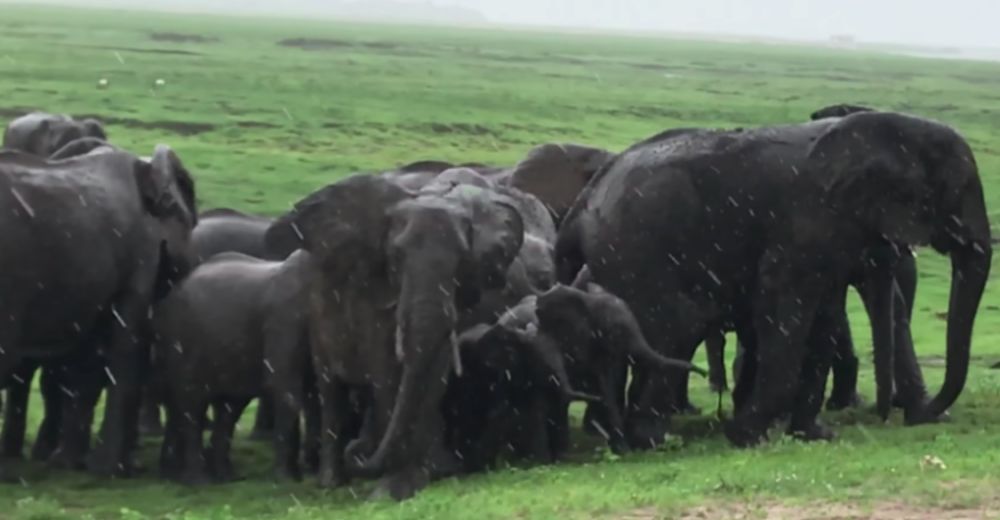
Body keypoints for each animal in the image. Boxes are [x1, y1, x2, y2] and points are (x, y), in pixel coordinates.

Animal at [0, 144, 201, 478]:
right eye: (188, 222)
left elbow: (89, 361)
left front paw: (70, 464)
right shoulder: (141, 254)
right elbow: (125, 347)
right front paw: (111, 470)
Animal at [153, 251, 316, 484]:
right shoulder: (286, 318)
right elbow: (285, 389)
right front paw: (288, 480)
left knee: (227, 407)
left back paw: (213, 475)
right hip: (180, 341)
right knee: (191, 404)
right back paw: (198, 481)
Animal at [266, 173, 532, 498]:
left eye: (462, 261)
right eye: (395, 257)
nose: (358, 451)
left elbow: (428, 372)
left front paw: (418, 477)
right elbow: (387, 374)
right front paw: (396, 485)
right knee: (330, 388)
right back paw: (331, 480)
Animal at [556, 112, 992, 446]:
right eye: (958, 190)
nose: (891, 416)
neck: (894, 128)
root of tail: (586, 199)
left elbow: (824, 320)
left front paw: (814, 435)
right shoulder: (803, 223)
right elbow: (784, 308)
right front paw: (747, 436)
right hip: (638, 245)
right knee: (677, 326)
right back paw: (652, 439)